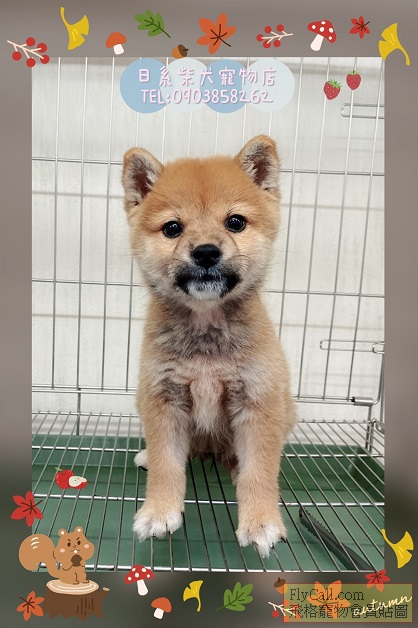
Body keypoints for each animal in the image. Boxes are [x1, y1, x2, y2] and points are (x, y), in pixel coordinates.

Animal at [122, 135, 297, 557]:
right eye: (172, 228)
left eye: (235, 222)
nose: (204, 252)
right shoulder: (163, 402)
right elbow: (167, 466)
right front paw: (159, 511)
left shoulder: (258, 402)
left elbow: (259, 472)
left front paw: (261, 521)